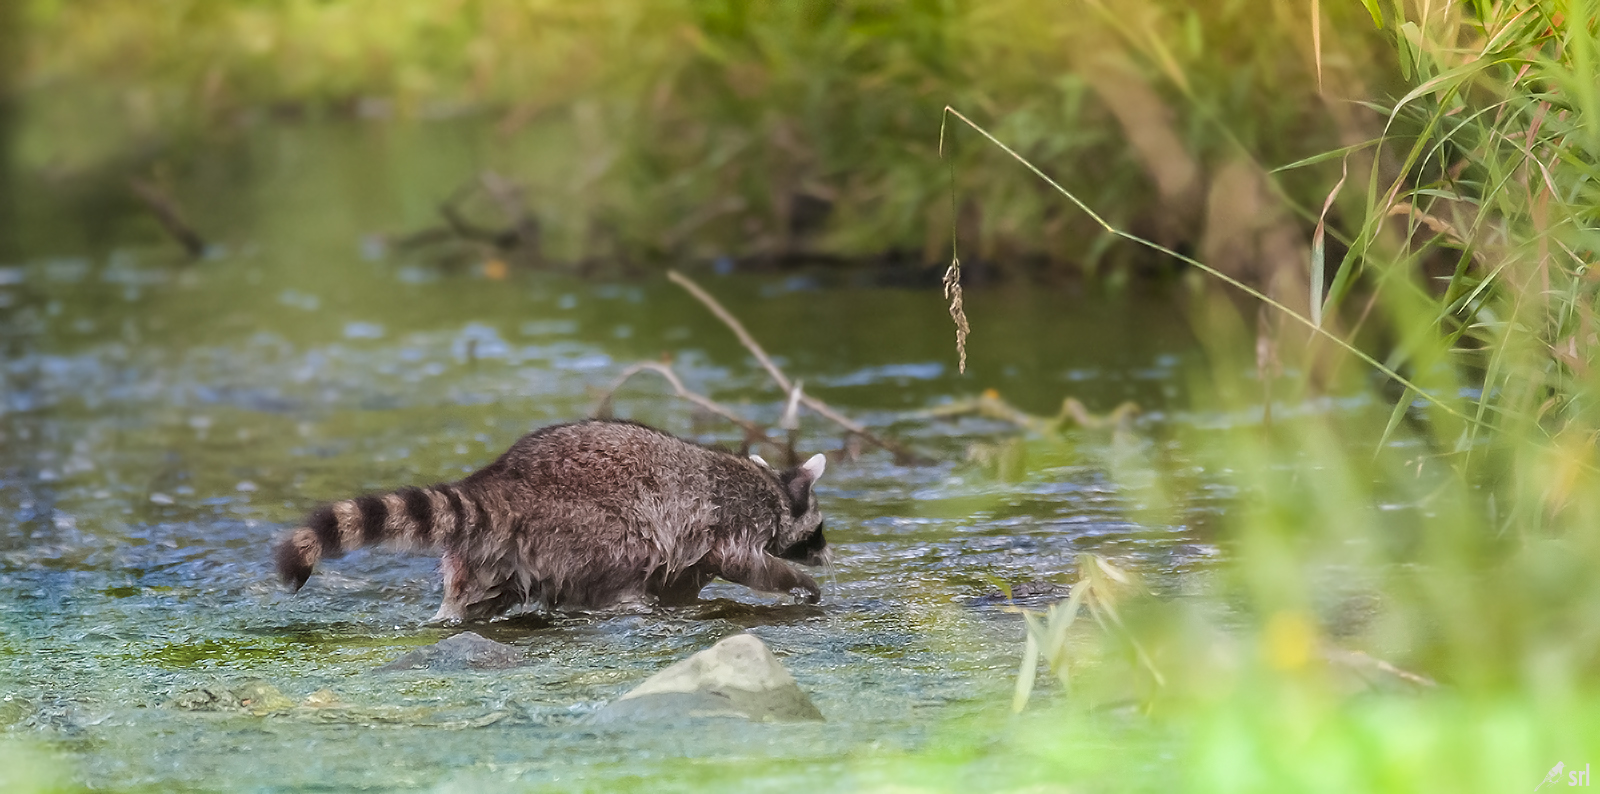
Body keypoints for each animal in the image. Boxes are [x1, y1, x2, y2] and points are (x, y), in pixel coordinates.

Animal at [275, 419, 832, 624]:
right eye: (820, 532)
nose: (828, 555)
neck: (773, 489)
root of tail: (501, 483)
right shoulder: (730, 523)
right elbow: (743, 563)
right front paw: (796, 581)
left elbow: (684, 581)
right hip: (588, 528)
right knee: (629, 556)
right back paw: (626, 600)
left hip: (488, 557)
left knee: (471, 598)